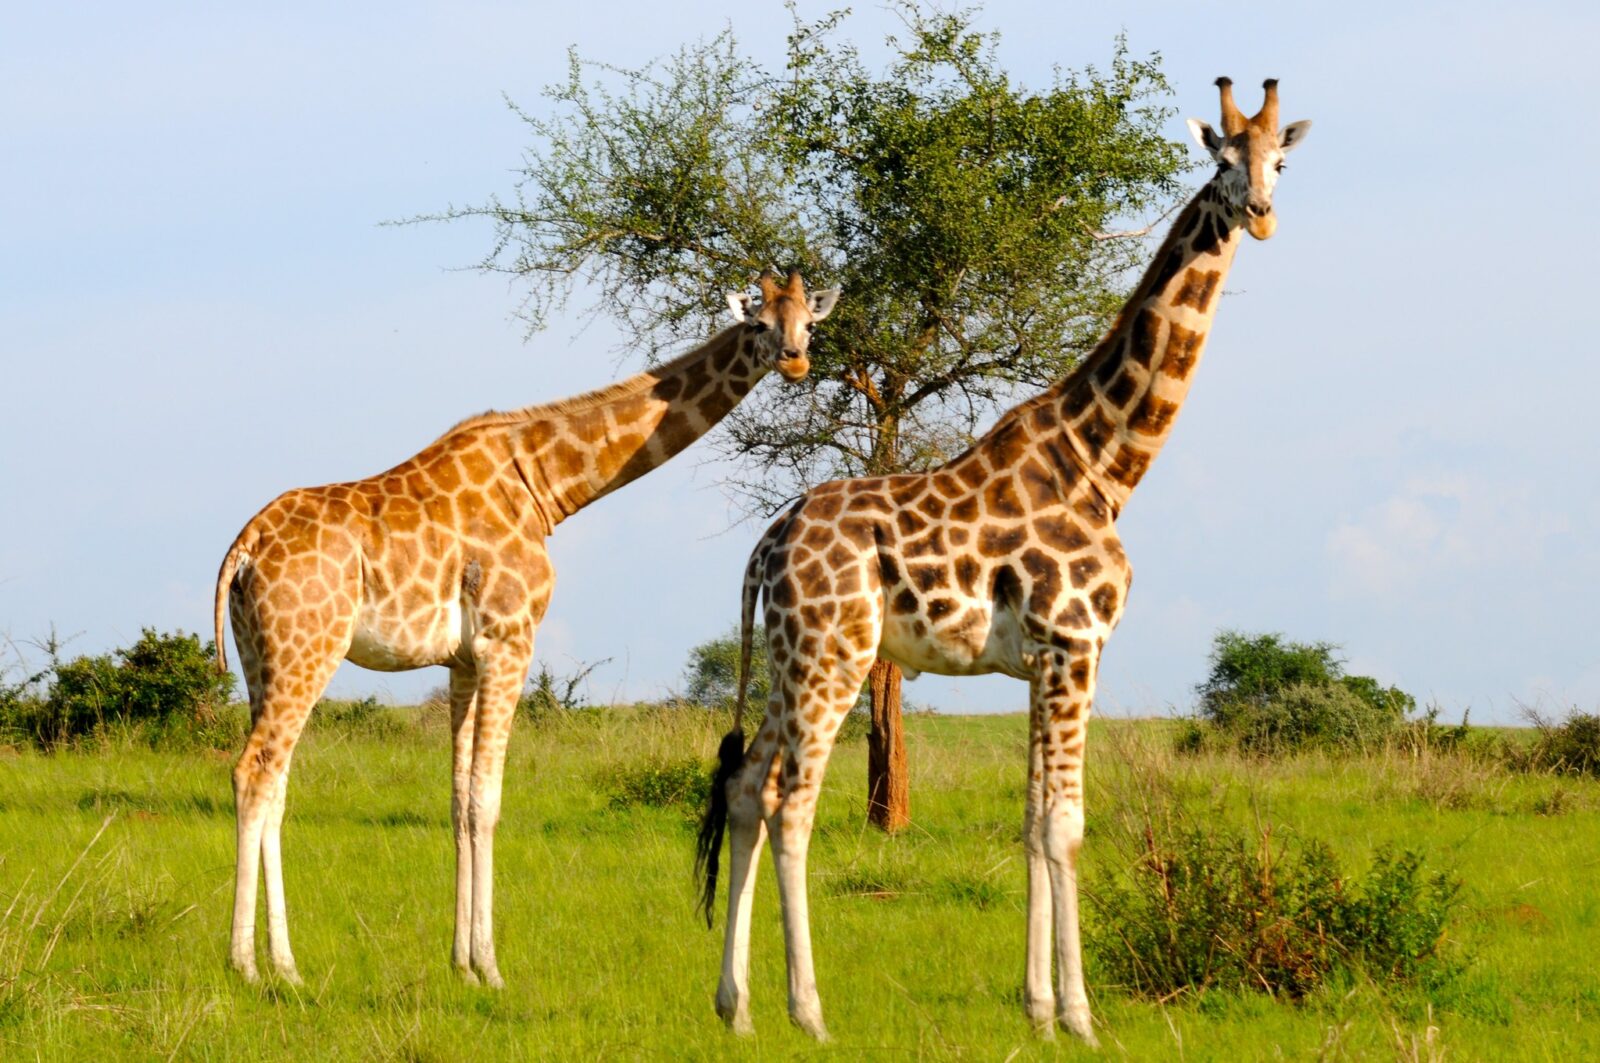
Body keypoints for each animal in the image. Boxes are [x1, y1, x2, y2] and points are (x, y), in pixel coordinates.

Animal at [214, 269, 839, 987]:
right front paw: (490, 966)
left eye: (809, 323)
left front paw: (460, 963)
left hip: (260, 657)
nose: (795, 360)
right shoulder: (509, 639)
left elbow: (458, 801)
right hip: (309, 647)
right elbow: (488, 799)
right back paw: (246, 963)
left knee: (278, 780)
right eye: (758, 323)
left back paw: (284, 964)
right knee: (254, 769)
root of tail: (245, 547)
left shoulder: (462, 660)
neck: (545, 484)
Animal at [696, 80, 1311, 1042]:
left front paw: (1039, 1009)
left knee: (746, 788)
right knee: (792, 803)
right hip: (835, 655)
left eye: (1279, 159)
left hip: (794, 660)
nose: (1260, 213)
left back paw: (738, 1007)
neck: (1104, 463)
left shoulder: (1038, 662)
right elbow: (1066, 826)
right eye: (1220, 160)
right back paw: (810, 1011)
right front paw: (1084, 1016)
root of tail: (767, 544)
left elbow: (1028, 820)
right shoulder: (1075, 645)